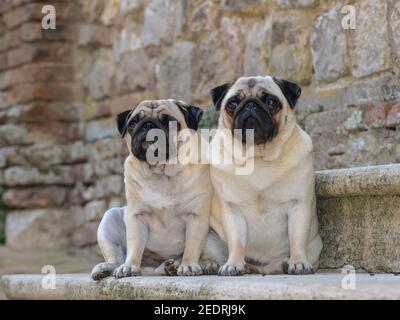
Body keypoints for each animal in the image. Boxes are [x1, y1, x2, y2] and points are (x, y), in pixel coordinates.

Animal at [91, 98, 214, 280]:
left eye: (169, 121)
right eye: (133, 123)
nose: (148, 124)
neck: (161, 172)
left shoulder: (196, 215)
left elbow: (192, 245)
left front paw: (189, 265)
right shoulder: (137, 216)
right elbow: (135, 246)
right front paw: (130, 266)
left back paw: (198, 265)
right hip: (109, 219)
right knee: (117, 258)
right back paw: (107, 268)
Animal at [202, 75, 324, 276]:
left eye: (271, 102)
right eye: (232, 104)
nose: (250, 105)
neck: (257, 157)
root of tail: (259, 268)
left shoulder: (298, 206)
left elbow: (297, 239)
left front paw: (298, 262)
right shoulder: (233, 211)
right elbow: (237, 242)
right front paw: (233, 264)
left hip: (315, 245)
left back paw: (285, 263)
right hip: (209, 238)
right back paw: (210, 265)